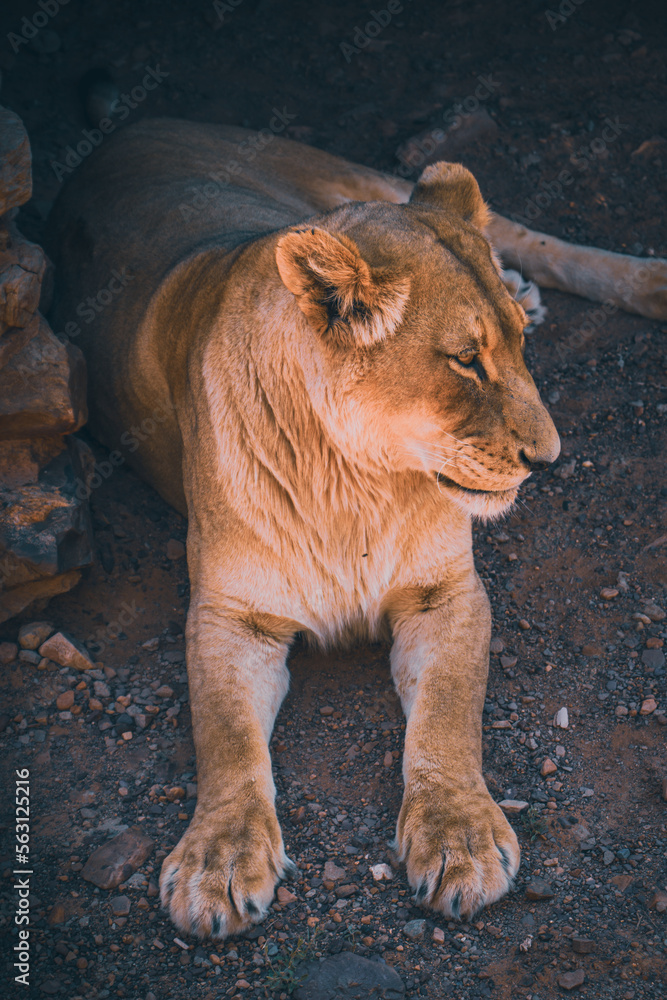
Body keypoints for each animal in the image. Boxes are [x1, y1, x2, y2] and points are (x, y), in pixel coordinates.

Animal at [46, 119, 667, 939]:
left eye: (518, 351)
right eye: (465, 361)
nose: (549, 459)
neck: (354, 481)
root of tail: (121, 134)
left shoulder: (446, 594)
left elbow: (447, 719)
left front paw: (460, 840)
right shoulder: (230, 619)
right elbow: (226, 740)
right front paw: (217, 861)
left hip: (366, 176)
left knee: (528, 235)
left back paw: (638, 283)